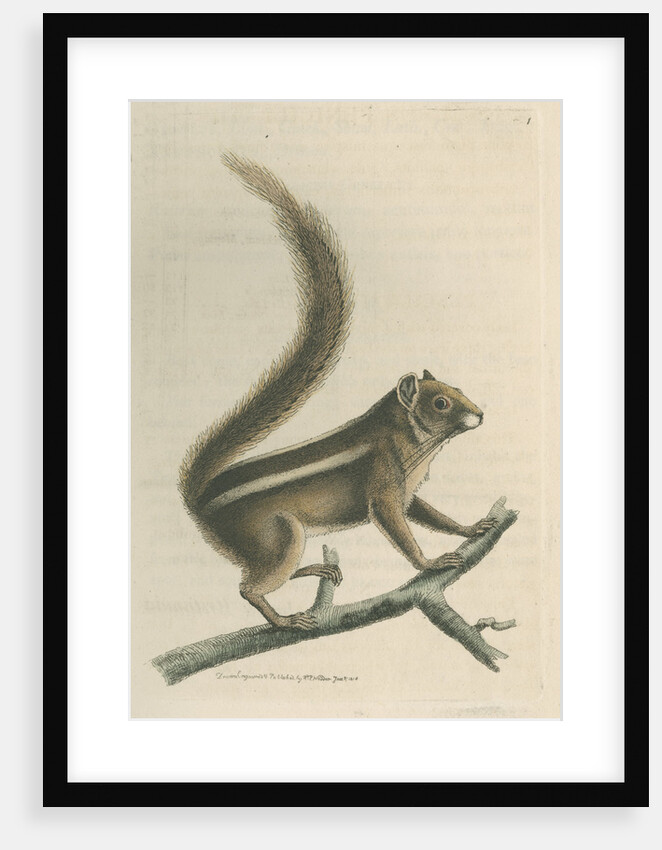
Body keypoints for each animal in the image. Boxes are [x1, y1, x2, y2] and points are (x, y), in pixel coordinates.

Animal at [179, 153, 496, 630]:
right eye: (440, 402)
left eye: (457, 387)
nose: (479, 413)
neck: (409, 440)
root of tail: (199, 505)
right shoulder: (384, 485)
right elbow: (397, 527)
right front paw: (429, 563)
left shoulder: (409, 489)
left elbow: (428, 513)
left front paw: (470, 528)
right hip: (279, 536)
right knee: (248, 586)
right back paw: (284, 620)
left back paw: (319, 571)